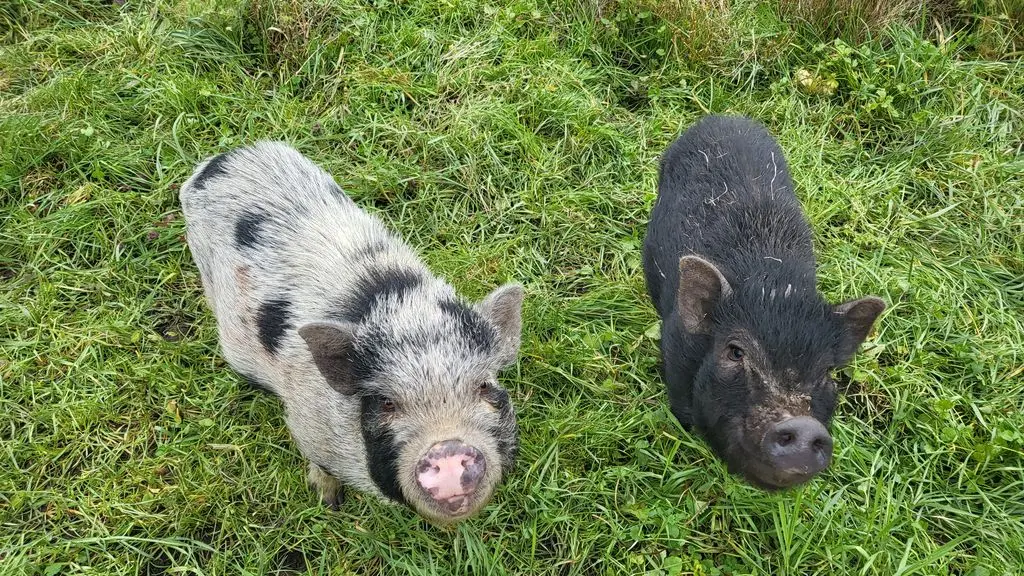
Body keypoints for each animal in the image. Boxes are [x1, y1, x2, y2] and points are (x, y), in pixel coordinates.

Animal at [179, 141, 524, 522]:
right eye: (386, 402)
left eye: (484, 386)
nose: (447, 453)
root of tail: (224, 159)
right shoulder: (308, 429)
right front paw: (329, 503)